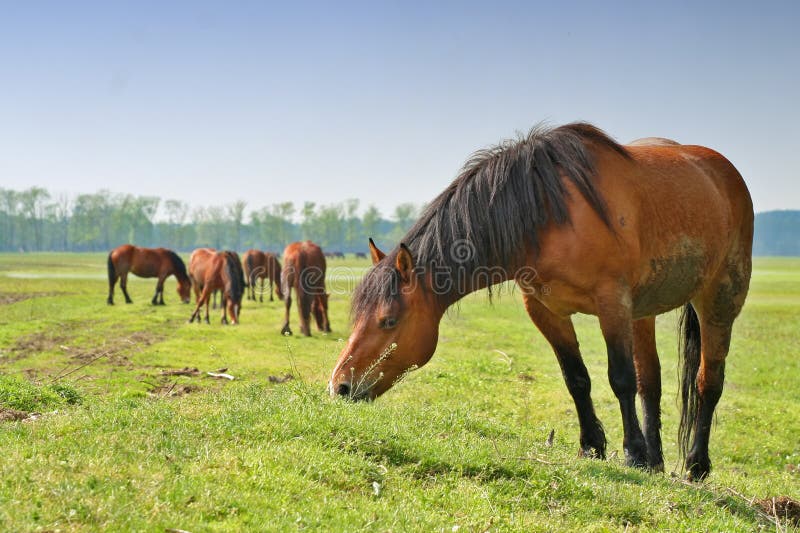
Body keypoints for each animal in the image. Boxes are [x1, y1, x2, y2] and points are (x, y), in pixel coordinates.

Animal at [328, 122, 752, 480]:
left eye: (389, 320)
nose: (340, 387)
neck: (550, 216)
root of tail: (724, 173)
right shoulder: (546, 310)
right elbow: (577, 378)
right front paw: (592, 447)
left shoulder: (612, 304)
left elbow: (619, 378)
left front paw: (631, 453)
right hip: (643, 312)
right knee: (652, 381)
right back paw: (656, 460)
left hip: (719, 299)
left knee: (708, 382)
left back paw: (695, 465)